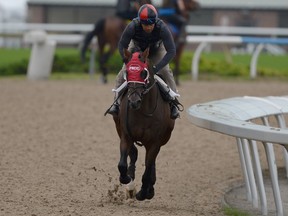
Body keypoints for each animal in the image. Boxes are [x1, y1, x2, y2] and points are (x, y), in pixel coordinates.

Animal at [111, 48, 174, 200]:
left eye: (143, 73)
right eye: (127, 73)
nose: (134, 101)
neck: (143, 111)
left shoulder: (155, 141)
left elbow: (148, 166)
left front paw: (144, 192)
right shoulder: (126, 135)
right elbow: (122, 164)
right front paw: (127, 180)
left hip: (164, 137)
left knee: (151, 162)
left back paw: (149, 188)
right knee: (135, 154)